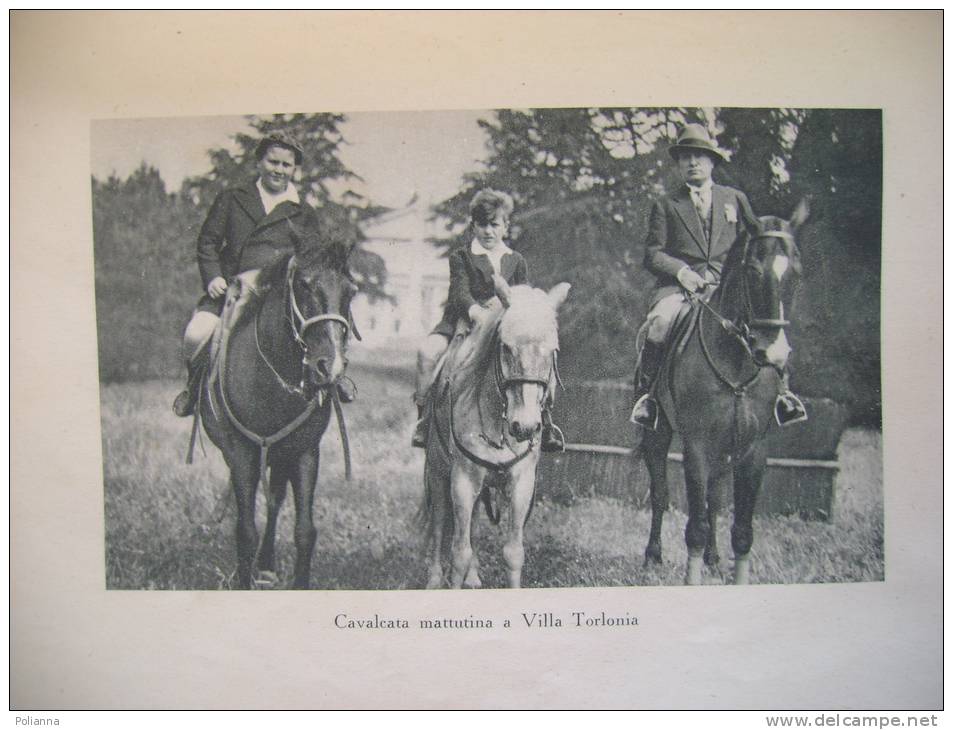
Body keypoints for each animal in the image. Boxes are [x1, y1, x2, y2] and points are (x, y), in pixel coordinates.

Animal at [197, 215, 356, 584]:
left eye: (351, 291)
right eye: (303, 285)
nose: (330, 366)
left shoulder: (305, 452)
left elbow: (305, 531)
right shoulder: (242, 454)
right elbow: (245, 531)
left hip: (280, 455)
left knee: (274, 500)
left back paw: (267, 564)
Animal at [420, 278, 568, 584]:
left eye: (552, 351)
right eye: (506, 347)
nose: (525, 426)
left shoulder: (522, 484)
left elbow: (513, 553)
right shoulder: (462, 481)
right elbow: (459, 553)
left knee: (474, 525)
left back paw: (474, 578)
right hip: (438, 472)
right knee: (439, 524)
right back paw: (435, 579)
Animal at [640, 200, 804, 584]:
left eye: (796, 273)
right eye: (753, 271)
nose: (774, 354)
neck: (737, 361)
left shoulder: (753, 451)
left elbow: (741, 530)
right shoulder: (697, 447)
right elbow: (694, 527)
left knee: (714, 500)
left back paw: (714, 558)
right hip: (659, 433)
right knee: (660, 492)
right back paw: (653, 554)